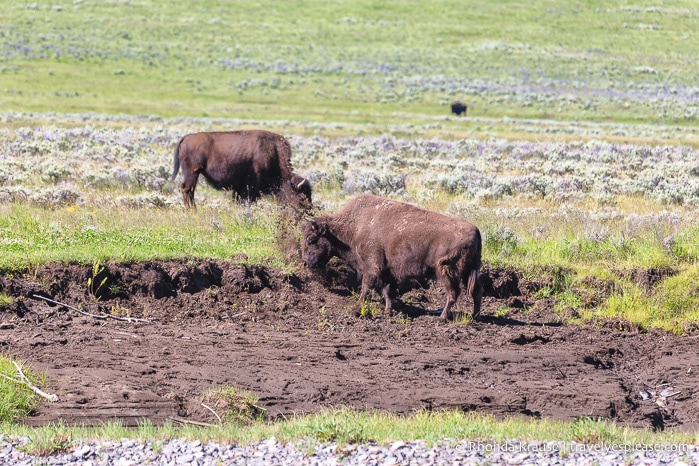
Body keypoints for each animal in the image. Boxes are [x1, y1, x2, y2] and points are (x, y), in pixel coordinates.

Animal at [170, 126, 312, 208]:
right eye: (301, 196)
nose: (309, 209)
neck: (274, 153)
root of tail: (186, 137)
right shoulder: (251, 185)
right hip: (192, 172)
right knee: (187, 189)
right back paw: (193, 210)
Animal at [304, 193, 484, 320]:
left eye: (311, 239)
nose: (305, 263)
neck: (355, 226)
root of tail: (476, 230)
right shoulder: (385, 271)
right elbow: (386, 290)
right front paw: (388, 310)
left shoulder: (371, 264)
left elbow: (367, 286)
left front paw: (356, 308)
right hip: (468, 272)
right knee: (476, 292)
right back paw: (474, 317)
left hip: (446, 271)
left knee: (453, 293)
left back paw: (442, 317)